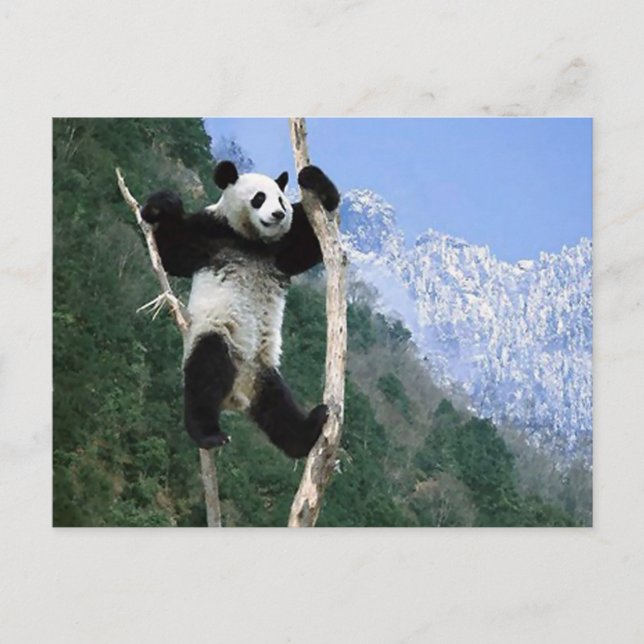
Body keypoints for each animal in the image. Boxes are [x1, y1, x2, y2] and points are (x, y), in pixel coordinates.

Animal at [141, 160, 340, 458]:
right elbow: (171, 254)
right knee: (205, 375)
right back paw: (209, 434)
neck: (251, 239)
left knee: (279, 409)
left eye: (281, 199)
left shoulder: (281, 248)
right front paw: (160, 206)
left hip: (264, 371)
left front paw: (311, 178)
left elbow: (309, 242)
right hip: (218, 337)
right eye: (259, 197)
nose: (279, 214)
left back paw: (310, 429)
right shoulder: (210, 233)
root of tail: (238, 395)